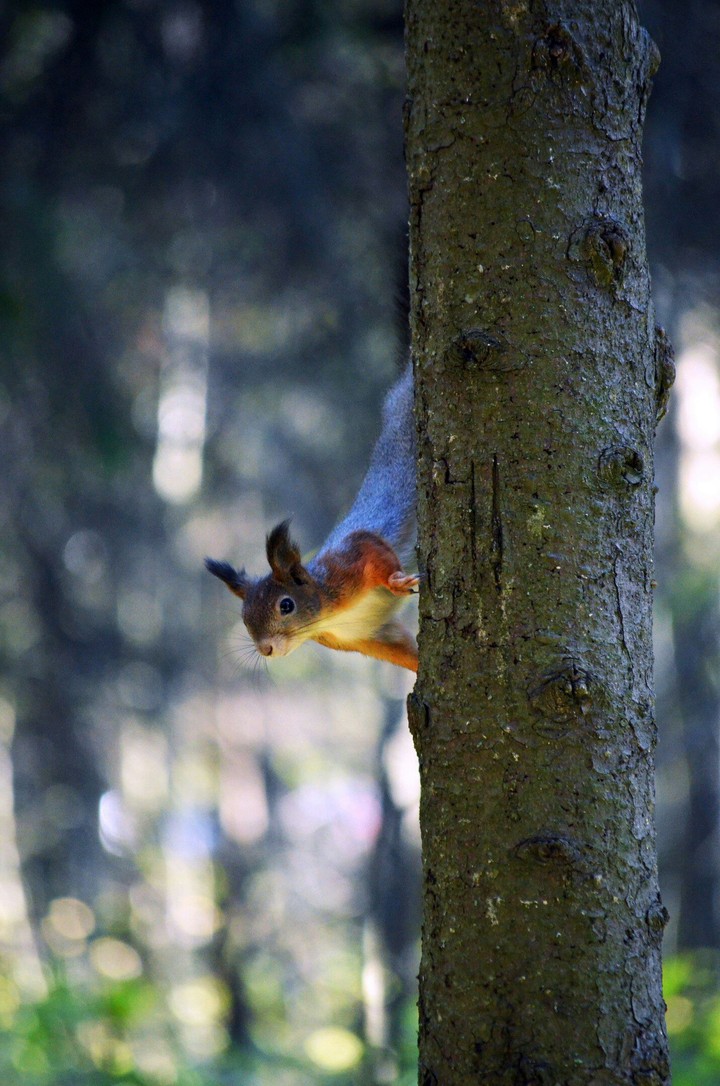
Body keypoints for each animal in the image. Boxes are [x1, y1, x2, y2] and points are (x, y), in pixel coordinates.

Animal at [205, 363, 419, 671]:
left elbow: (372, 547)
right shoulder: (367, 636)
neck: (328, 616)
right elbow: (404, 649)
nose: (266, 649)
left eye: (286, 605)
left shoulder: (347, 562)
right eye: (245, 618)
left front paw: (395, 581)